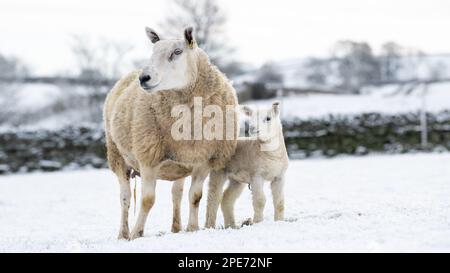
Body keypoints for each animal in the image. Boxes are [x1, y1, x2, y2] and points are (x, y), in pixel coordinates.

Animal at [104, 26, 239, 239]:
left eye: (177, 52)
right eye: (152, 52)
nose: (144, 78)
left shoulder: (203, 159)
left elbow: (195, 197)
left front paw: (193, 228)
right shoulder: (148, 159)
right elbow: (147, 200)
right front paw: (137, 233)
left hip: (180, 163)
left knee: (177, 193)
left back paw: (176, 228)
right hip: (117, 155)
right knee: (124, 198)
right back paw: (123, 234)